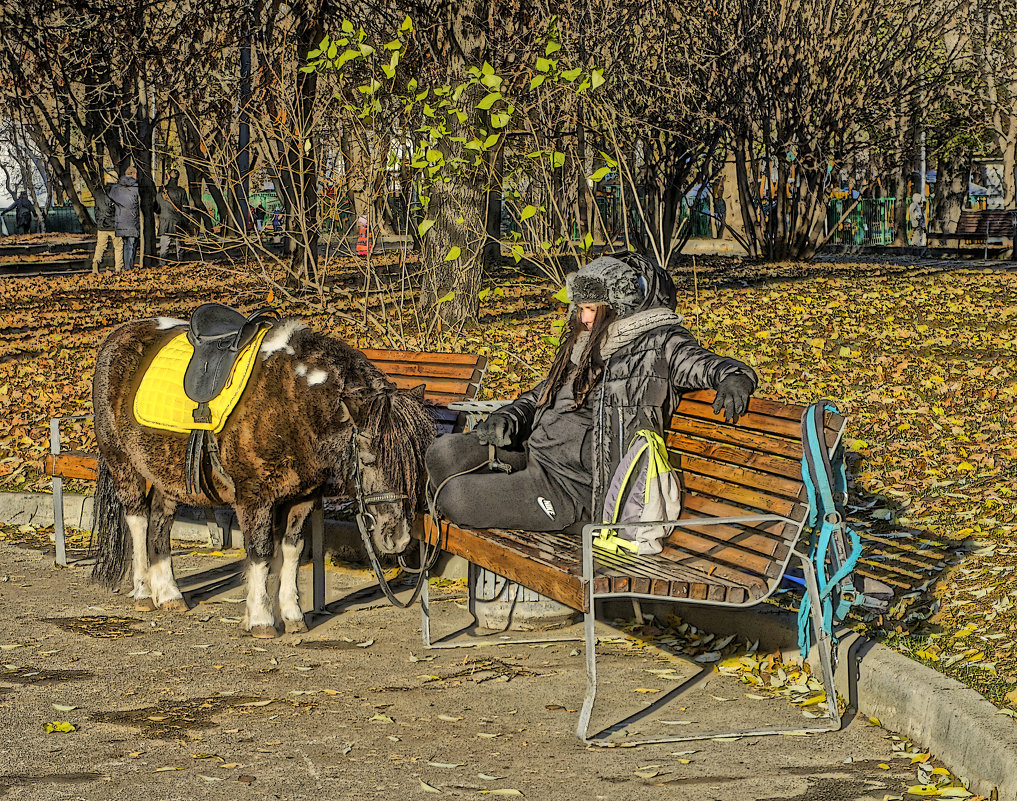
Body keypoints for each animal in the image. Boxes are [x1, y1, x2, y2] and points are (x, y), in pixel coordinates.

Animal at [89, 319, 435, 638]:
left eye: (418, 459)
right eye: (367, 459)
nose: (398, 537)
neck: (289, 404)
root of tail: (118, 336)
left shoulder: (302, 497)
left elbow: (292, 550)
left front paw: (293, 615)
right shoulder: (254, 498)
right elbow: (260, 552)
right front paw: (261, 618)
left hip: (169, 472)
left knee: (161, 521)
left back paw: (169, 593)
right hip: (123, 463)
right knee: (138, 520)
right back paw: (144, 591)